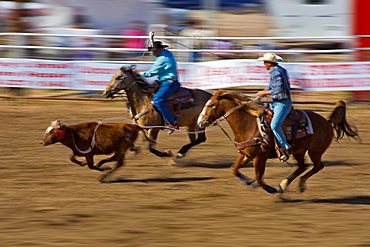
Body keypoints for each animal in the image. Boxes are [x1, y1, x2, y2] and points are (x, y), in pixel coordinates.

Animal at [198, 89, 360, 194]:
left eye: (211, 105)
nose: (200, 122)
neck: (248, 125)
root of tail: (327, 122)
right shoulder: (246, 154)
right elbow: (234, 169)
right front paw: (249, 182)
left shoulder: (260, 157)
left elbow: (259, 178)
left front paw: (270, 189)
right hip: (299, 151)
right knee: (302, 167)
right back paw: (285, 184)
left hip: (315, 151)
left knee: (318, 166)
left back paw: (297, 185)